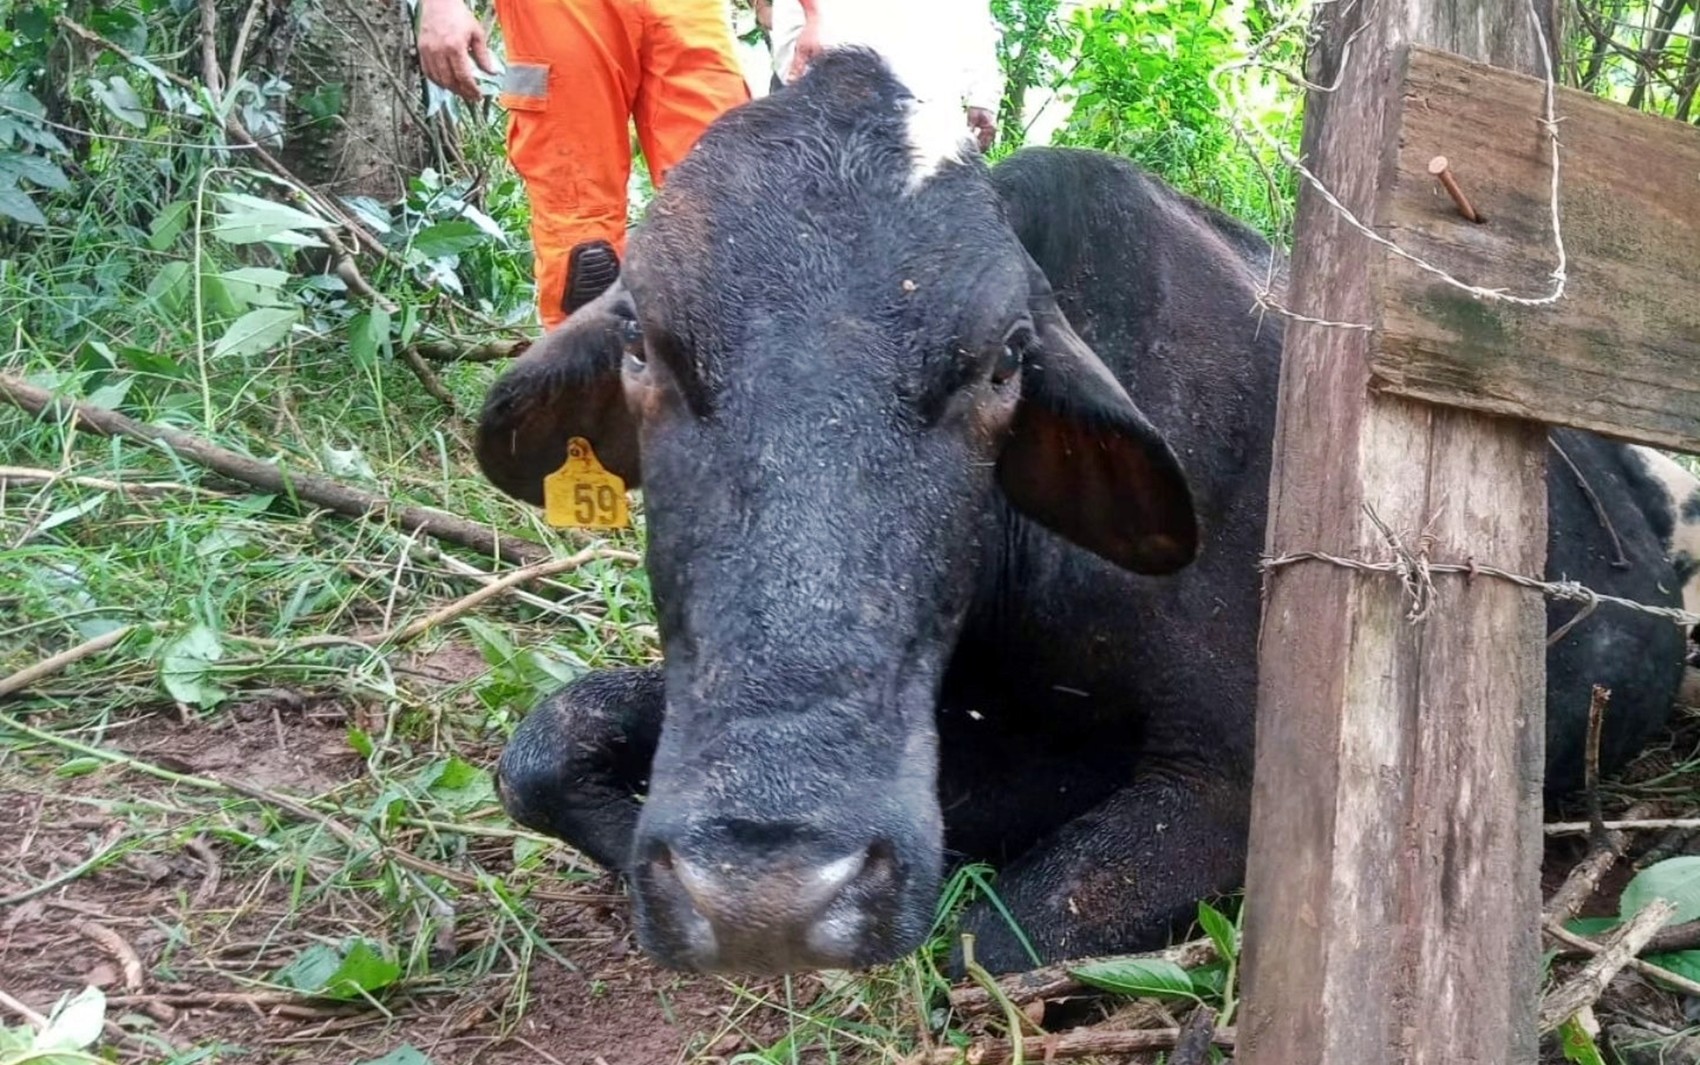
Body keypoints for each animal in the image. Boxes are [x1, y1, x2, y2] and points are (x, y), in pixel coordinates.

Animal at [469, 54, 1700, 973]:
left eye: (1004, 362)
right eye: (641, 341)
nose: (762, 893)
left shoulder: (1223, 784)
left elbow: (977, 937)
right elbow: (545, 742)